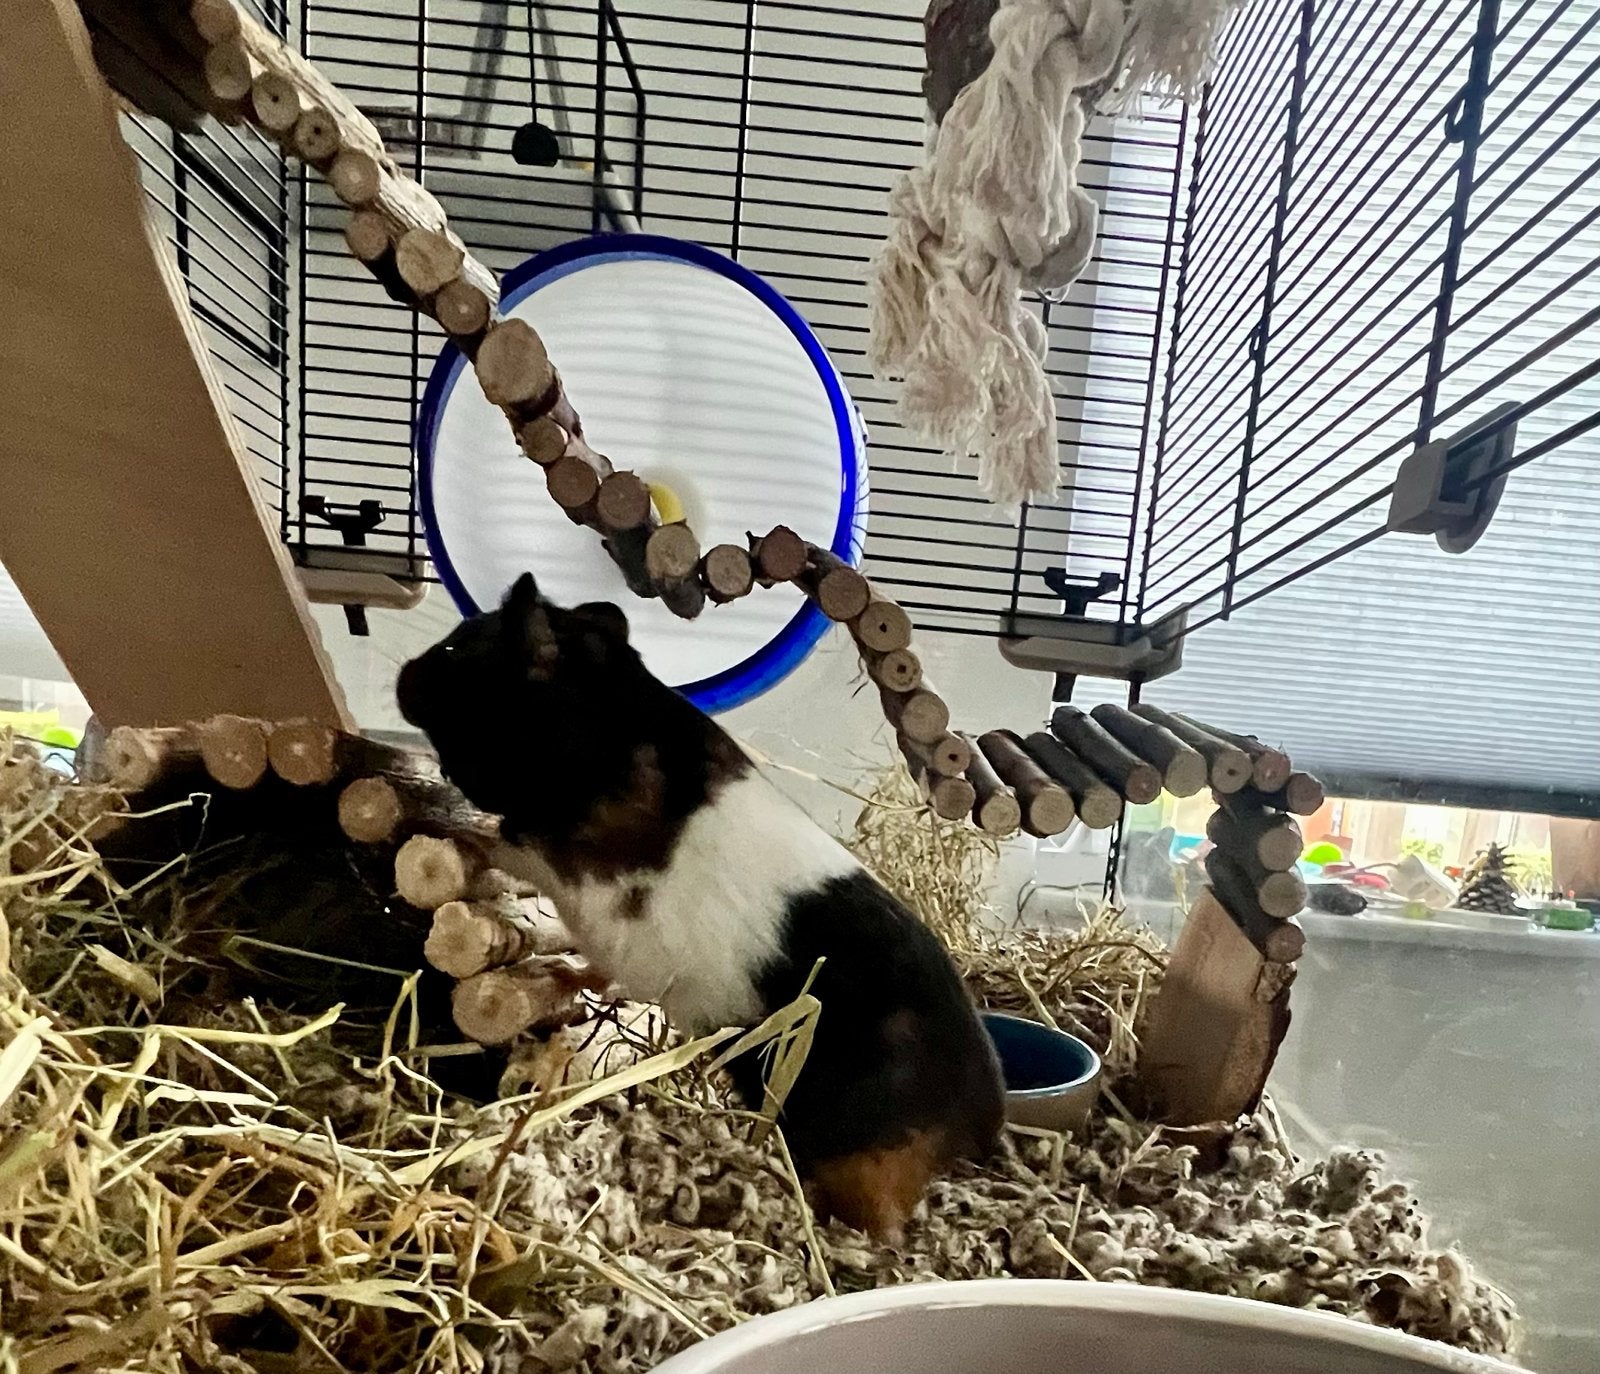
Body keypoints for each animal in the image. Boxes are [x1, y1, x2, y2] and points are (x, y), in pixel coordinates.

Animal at [396, 573, 1004, 1241]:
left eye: (457, 651)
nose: (402, 676)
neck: (599, 725)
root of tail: (981, 1125)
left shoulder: (567, 864)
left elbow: (505, 846)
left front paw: (441, 824)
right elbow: (587, 967)